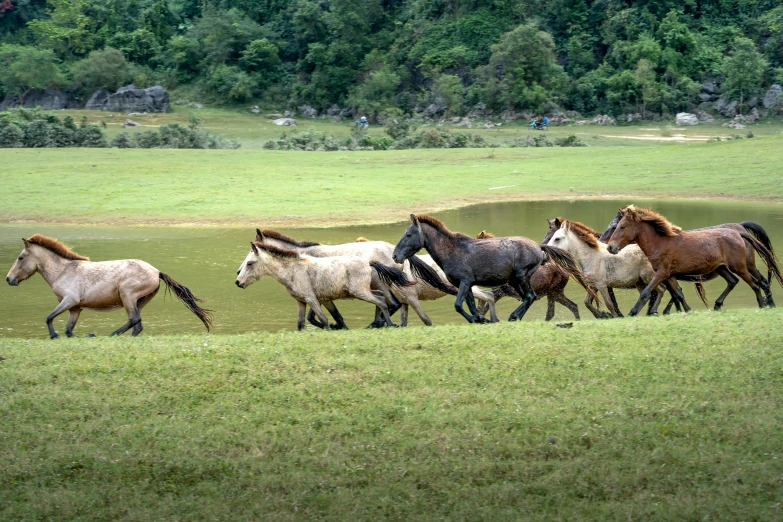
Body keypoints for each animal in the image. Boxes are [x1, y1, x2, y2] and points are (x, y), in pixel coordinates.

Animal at [5, 233, 214, 338]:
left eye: (20, 257)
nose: (9, 279)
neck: (63, 271)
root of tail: (156, 271)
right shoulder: (75, 308)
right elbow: (69, 329)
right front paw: (70, 336)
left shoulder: (69, 300)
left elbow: (49, 317)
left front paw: (54, 336)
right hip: (139, 300)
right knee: (137, 325)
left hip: (127, 295)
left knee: (134, 320)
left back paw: (111, 334)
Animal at [234, 241, 414, 330]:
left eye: (250, 263)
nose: (238, 282)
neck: (293, 270)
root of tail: (368, 262)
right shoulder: (302, 301)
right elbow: (301, 323)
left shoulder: (312, 299)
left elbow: (324, 320)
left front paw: (332, 328)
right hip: (363, 291)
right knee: (382, 298)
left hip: (359, 292)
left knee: (383, 302)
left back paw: (388, 325)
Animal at [392, 212, 596, 320]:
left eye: (409, 234)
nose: (395, 256)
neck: (453, 251)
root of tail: (539, 248)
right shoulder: (465, 285)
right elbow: (471, 306)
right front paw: (480, 320)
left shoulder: (465, 282)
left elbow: (458, 305)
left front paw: (480, 320)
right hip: (518, 282)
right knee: (529, 298)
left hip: (521, 277)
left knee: (530, 297)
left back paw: (513, 316)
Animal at [604, 205, 780, 314]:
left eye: (621, 226)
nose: (610, 247)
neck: (661, 242)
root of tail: (738, 231)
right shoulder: (670, 275)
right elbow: (678, 294)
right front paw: (687, 311)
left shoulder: (661, 273)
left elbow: (646, 293)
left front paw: (632, 312)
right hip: (722, 268)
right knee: (734, 281)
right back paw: (718, 305)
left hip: (741, 266)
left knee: (757, 284)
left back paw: (763, 305)